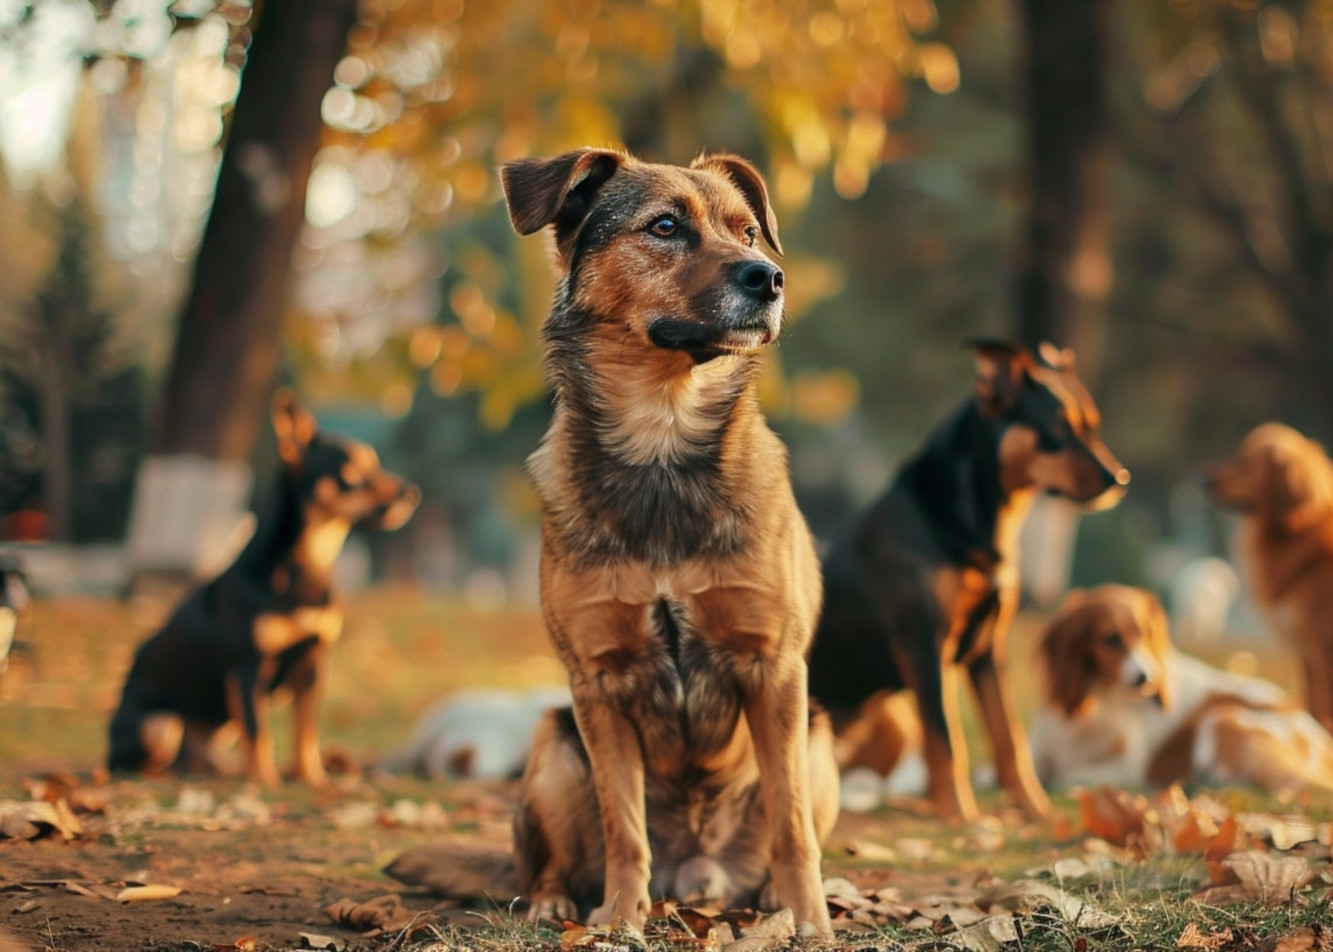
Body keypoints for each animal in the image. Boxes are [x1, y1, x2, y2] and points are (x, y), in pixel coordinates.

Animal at [110, 389, 421, 784]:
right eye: (351, 472)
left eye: (375, 465)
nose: (412, 492)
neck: (306, 566)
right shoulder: (248, 669)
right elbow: (259, 733)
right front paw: (264, 782)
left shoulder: (311, 665)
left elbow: (306, 732)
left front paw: (311, 778)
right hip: (159, 724)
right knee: (142, 759)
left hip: (217, 723)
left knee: (199, 753)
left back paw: (210, 768)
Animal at [501, 150, 831, 933]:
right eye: (664, 226)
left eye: (749, 232)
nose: (768, 278)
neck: (662, 435)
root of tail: (699, 873)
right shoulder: (597, 683)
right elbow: (624, 824)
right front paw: (620, 919)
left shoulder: (775, 669)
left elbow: (792, 822)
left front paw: (809, 921)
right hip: (552, 744)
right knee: (550, 859)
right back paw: (554, 899)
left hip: (821, 738)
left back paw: (772, 899)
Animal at [805, 341, 1130, 816]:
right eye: (1057, 427)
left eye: (1092, 425)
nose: (1118, 478)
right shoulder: (923, 644)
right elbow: (946, 739)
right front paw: (960, 815)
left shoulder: (989, 650)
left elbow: (1009, 737)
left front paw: (1035, 809)